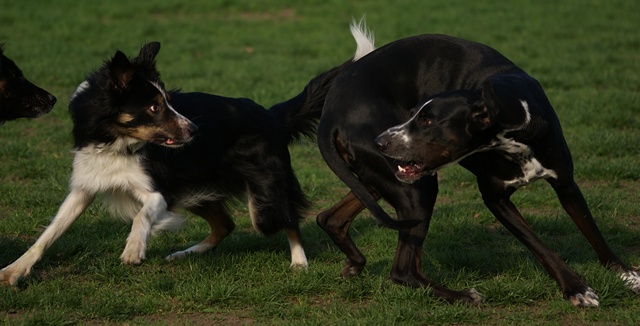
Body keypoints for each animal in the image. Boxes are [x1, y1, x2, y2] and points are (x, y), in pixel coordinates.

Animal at [0, 37, 362, 286]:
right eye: (154, 107)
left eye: (169, 101)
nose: (195, 130)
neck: (116, 142)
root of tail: (272, 115)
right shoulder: (86, 186)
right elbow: (49, 233)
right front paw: (14, 270)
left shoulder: (158, 190)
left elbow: (143, 214)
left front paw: (134, 249)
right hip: (196, 189)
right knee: (225, 225)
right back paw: (185, 254)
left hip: (263, 195)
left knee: (286, 218)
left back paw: (299, 262)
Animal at [316, 20, 640, 306]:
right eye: (414, 113)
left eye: (427, 120)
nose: (380, 141)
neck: (515, 121)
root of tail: (330, 114)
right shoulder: (495, 198)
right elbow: (540, 246)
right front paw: (576, 289)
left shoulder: (566, 183)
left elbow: (593, 232)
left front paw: (625, 275)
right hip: (416, 190)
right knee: (403, 271)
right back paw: (462, 296)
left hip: (383, 180)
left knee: (330, 218)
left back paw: (355, 263)